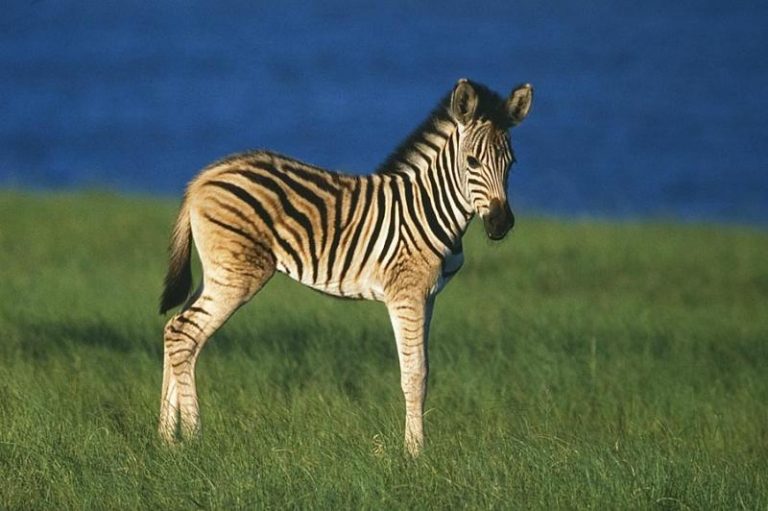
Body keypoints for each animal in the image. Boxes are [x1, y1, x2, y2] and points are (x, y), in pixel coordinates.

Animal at [158, 78, 533, 456]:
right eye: (472, 161)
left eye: (512, 163)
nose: (501, 224)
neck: (430, 206)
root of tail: (204, 176)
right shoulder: (406, 295)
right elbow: (414, 374)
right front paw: (415, 452)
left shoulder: (428, 296)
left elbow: (424, 371)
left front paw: (414, 447)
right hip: (238, 275)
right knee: (186, 334)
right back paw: (193, 436)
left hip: (217, 272)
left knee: (174, 329)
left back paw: (166, 438)